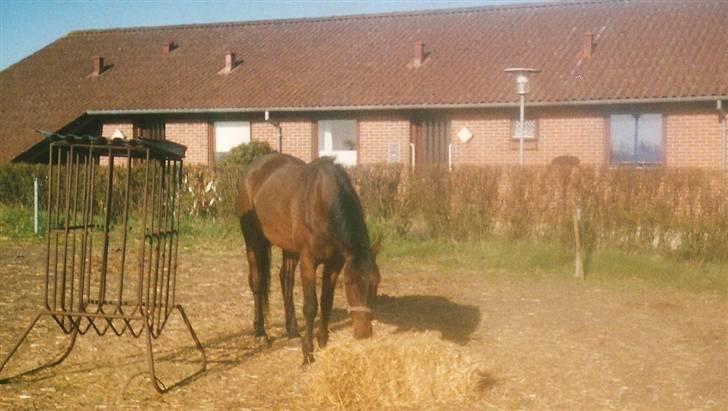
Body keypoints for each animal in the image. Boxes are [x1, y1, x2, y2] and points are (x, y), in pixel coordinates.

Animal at [236, 153, 381, 363]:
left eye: (376, 282)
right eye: (349, 283)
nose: (364, 332)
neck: (321, 203)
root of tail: (253, 168)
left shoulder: (335, 263)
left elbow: (326, 301)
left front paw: (322, 341)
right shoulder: (308, 260)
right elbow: (311, 306)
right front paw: (307, 354)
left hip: (290, 250)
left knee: (286, 281)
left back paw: (292, 331)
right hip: (253, 240)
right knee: (257, 282)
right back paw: (261, 333)